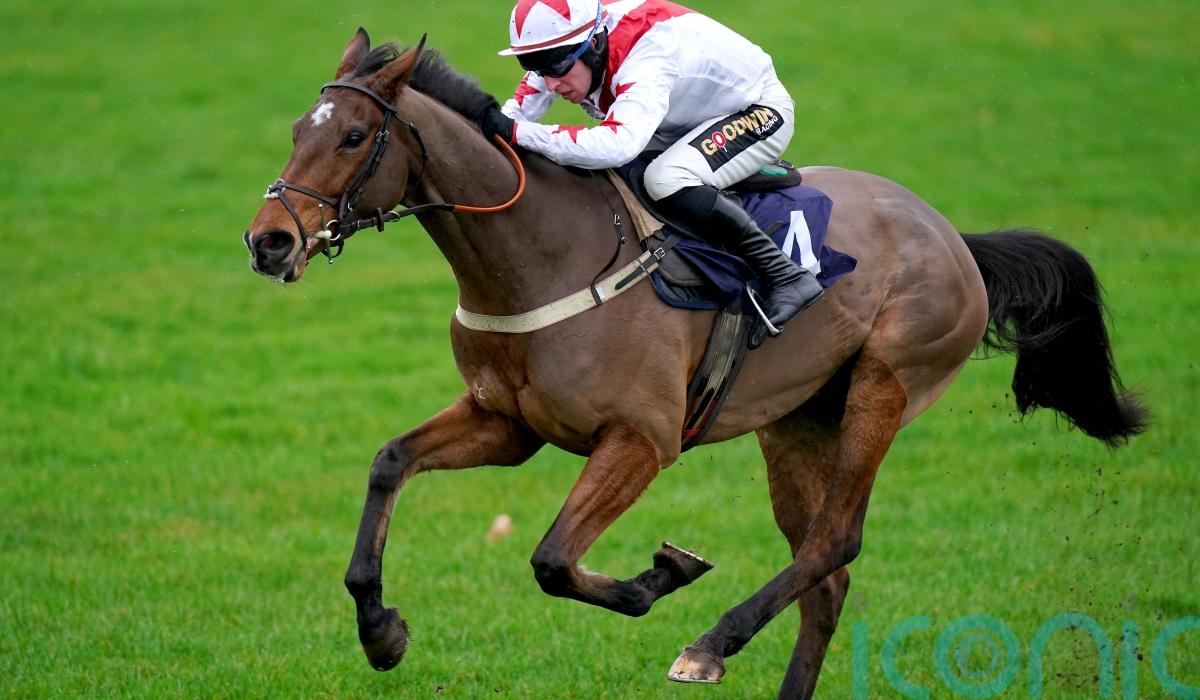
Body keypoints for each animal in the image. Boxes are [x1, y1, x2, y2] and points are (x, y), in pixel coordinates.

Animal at [243, 31, 1146, 698]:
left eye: (352, 136)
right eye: (294, 131)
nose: (269, 242)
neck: (543, 255)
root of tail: (954, 236)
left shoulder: (642, 439)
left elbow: (552, 560)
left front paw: (662, 574)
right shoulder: (507, 423)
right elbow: (389, 463)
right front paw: (381, 631)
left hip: (884, 389)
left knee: (836, 542)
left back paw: (711, 643)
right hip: (797, 423)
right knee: (824, 580)